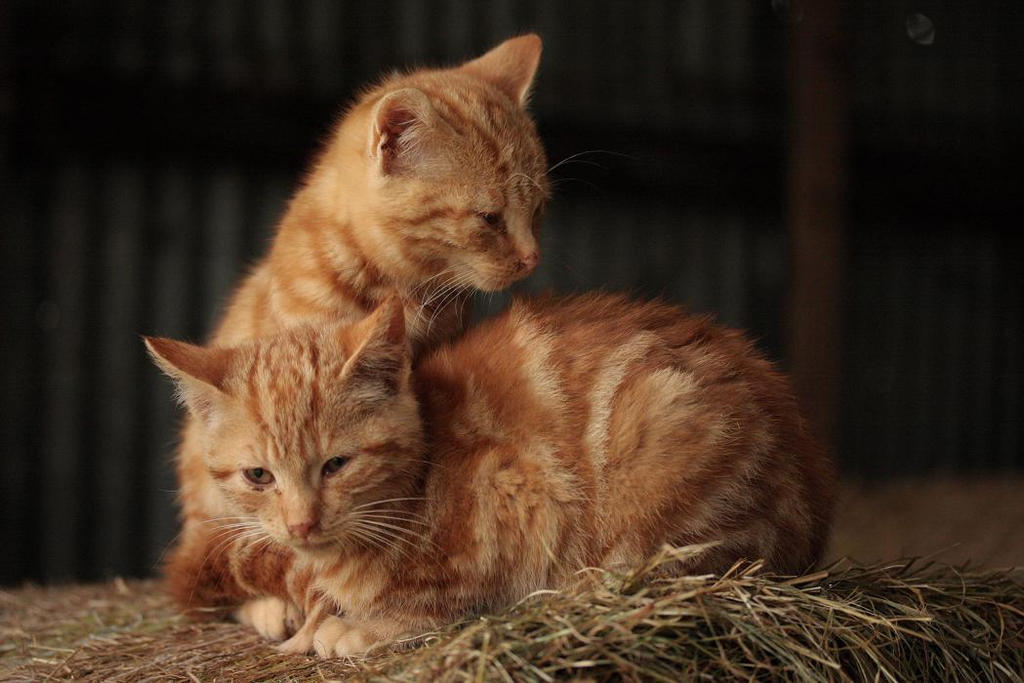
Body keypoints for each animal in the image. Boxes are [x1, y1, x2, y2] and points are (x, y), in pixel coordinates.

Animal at [148, 292, 835, 655]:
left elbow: (450, 598)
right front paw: (309, 623)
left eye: (337, 465)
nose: (300, 525)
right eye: (258, 476)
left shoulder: (526, 495)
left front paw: (357, 628)